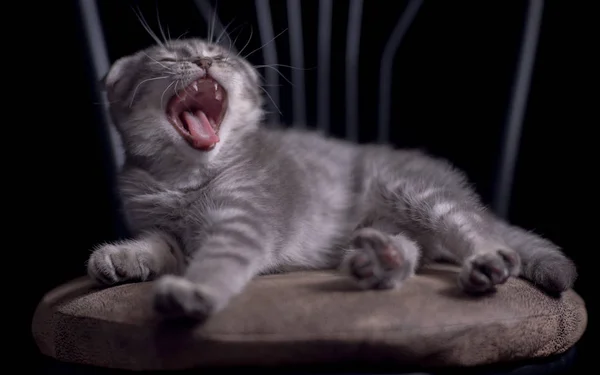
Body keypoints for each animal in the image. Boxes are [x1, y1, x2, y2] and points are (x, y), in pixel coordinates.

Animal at [86, 37, 580, 320]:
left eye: (220, 55)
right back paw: (381, 260)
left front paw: (195, 290)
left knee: (472, 228)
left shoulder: (243, 221)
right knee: (414, 249)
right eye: (172, 56)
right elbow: (156, 246)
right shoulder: (166, 232)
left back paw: (484, 261)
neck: (182, 178)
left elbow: (219, 259)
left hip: (417, 192)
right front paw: (121, 257)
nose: (207, 61)